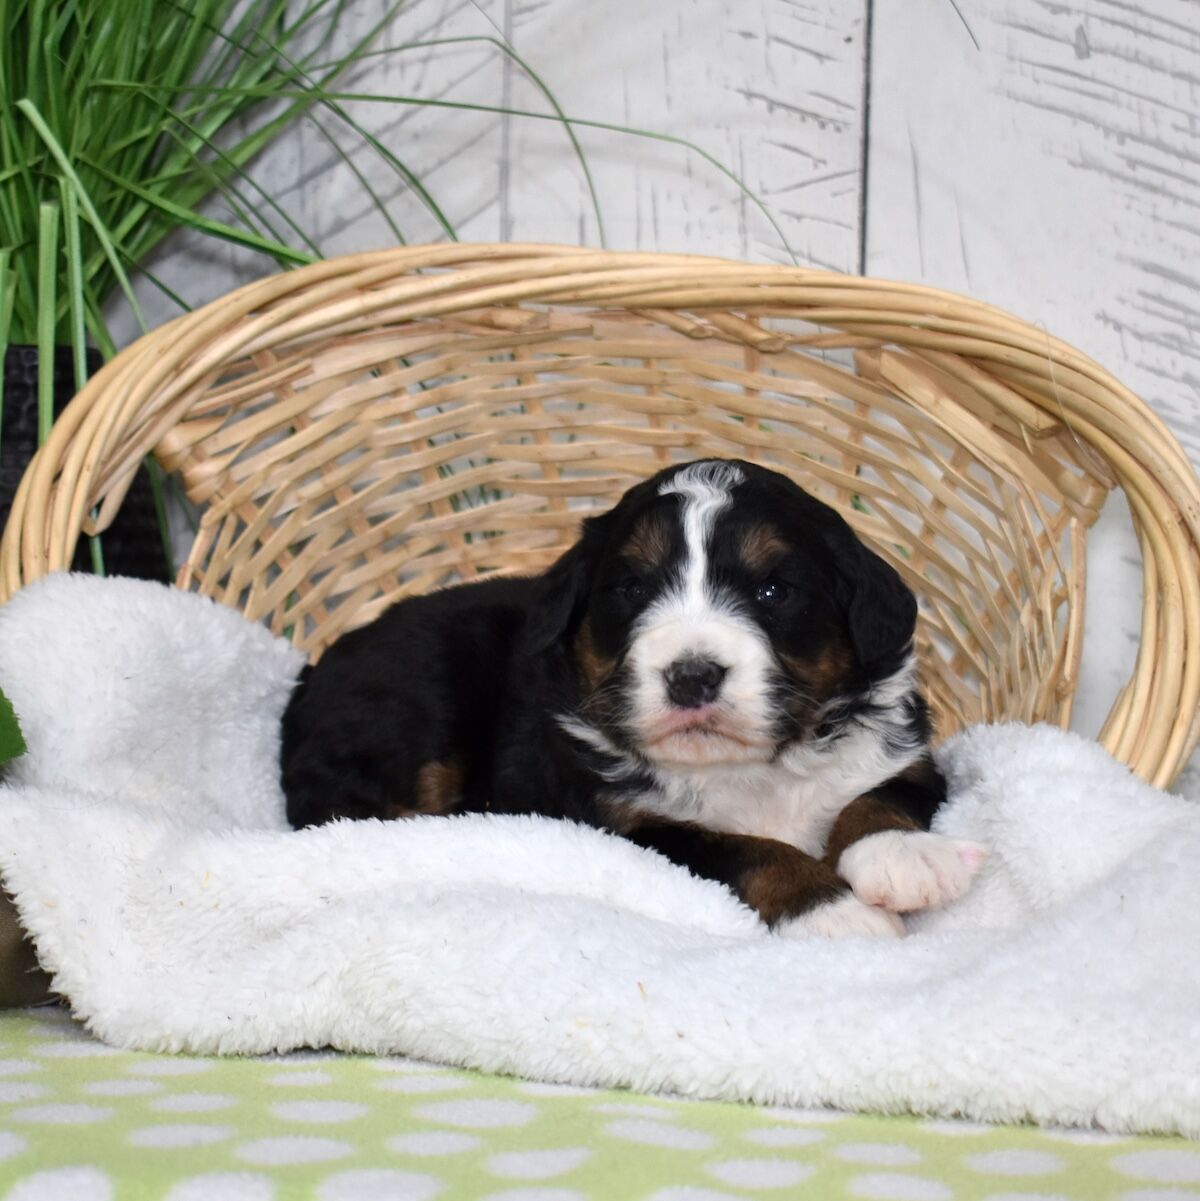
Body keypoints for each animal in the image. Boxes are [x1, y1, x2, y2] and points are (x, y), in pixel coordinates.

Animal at [280, 458, 985, 938]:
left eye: (773, 591)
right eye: (633, 589)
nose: (692, 675)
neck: (746, 771)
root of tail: (307, 676)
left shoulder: (908, 756)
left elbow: (881, 797)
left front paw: (903, 857)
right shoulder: (627, 825)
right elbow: (744, 848)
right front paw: (832, 911)